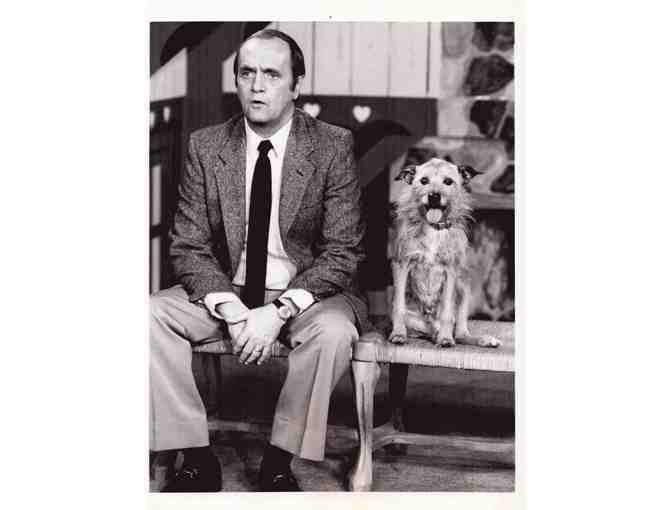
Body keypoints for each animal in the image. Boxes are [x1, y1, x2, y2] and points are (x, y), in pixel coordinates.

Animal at [389, 158, 501, 348]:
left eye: (448, 181)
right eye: (424, 180)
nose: (434, 196)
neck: (434, 228)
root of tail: (430, 321)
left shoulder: (451, 271)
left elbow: (447, 311)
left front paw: (446, 338)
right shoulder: (401, 264)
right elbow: (399, 306)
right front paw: (398, 334)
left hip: (464, 287)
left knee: (461, 333)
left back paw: (478, 339)